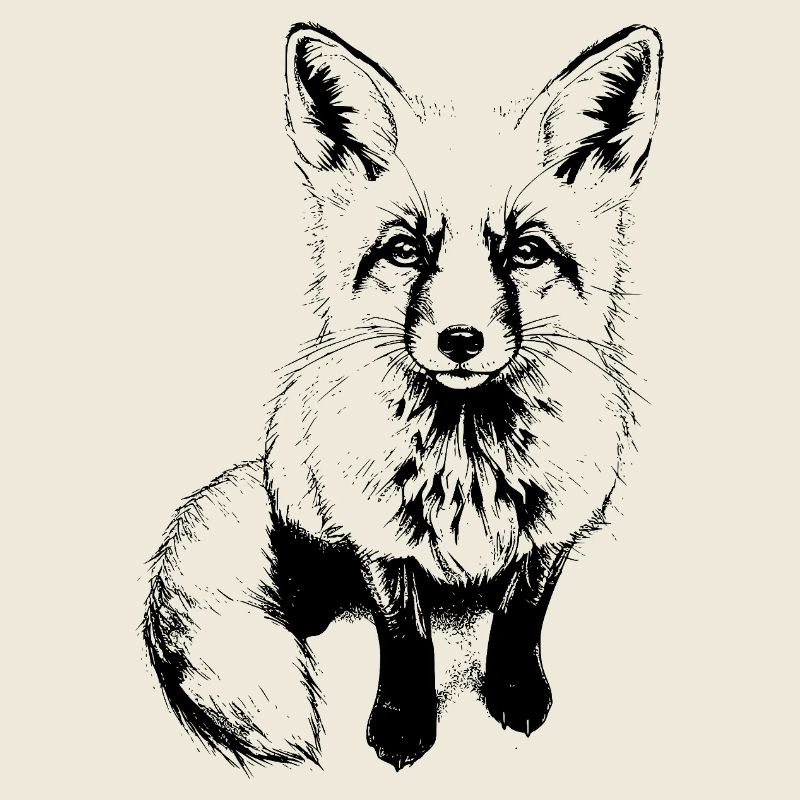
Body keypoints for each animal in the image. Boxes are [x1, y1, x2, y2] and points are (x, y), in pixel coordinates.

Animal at [143, 22, 662, 771]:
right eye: (406, 250)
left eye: (526, 252)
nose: (461, 340)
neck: (468, 462)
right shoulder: (381, 537)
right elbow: (405, 637)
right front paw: (402, 723)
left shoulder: (554, 528)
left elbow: (519, 614)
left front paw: (514, 692)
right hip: (298, 476)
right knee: (297, 545)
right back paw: (306, 597)